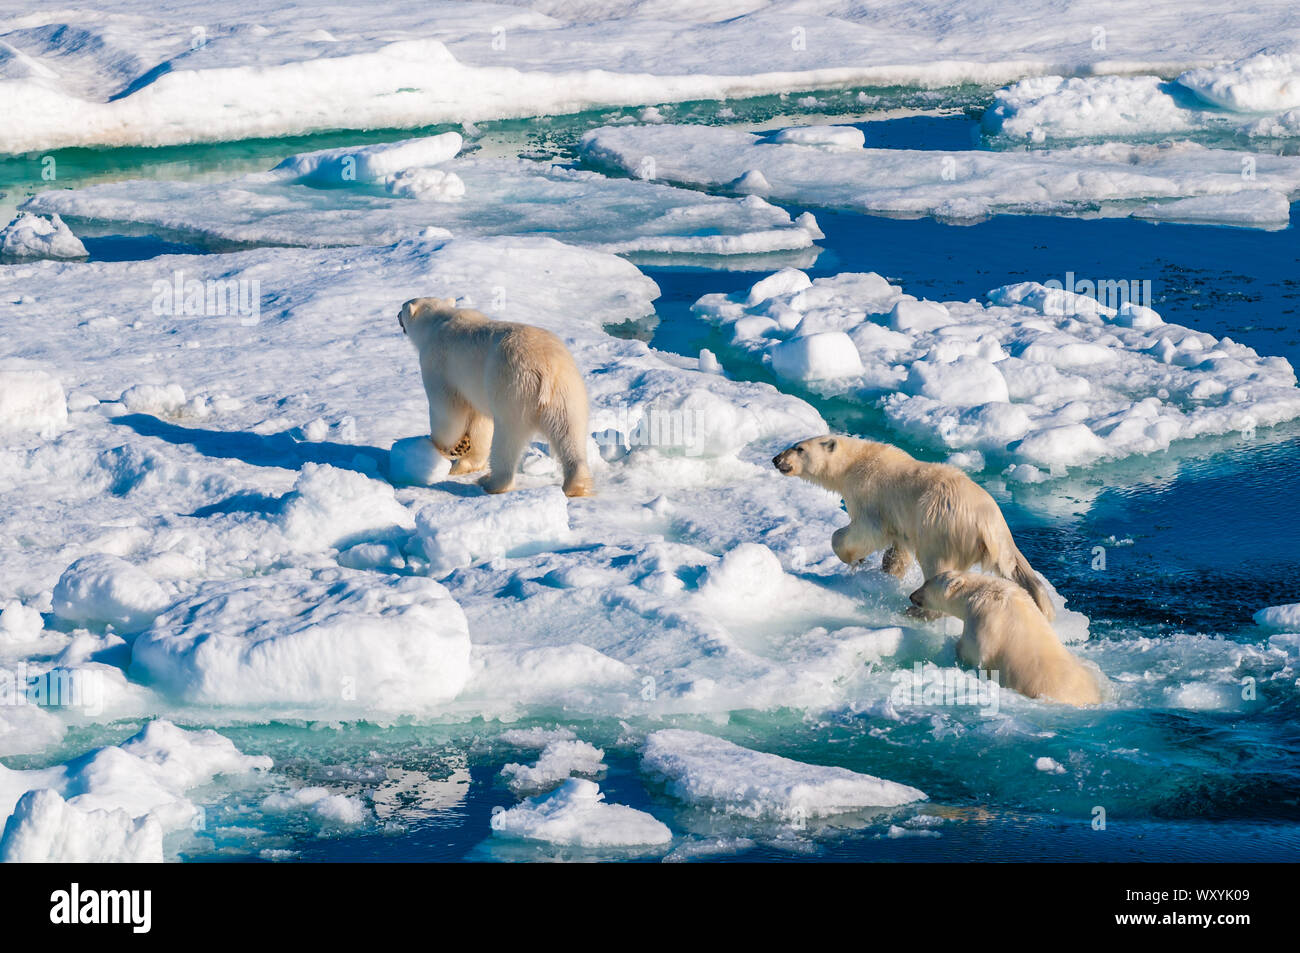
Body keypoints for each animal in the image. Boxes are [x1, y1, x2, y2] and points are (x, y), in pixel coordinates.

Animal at [398, 296, 593, 497]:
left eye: (402, 308)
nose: (397, 315)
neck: (437, 322)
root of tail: (547, 368)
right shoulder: (476, 388)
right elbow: (480, 422)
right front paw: (467, 460)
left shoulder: (438, 365)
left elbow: (447, 412)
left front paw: (446, 446)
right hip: (566, 393)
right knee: (570, 434)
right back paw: (577, 485)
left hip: (514, 390)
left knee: (507, 439)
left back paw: (491, 482)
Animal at [772, 435, 1054, 620]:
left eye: (798, 448)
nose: (775, 459)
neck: (856, 461)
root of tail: (988, 525)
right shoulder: (901, 522)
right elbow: (897, 551)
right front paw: (886, 573)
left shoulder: (869, 493)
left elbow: (866, 531)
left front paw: (854, 558)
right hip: (1000, 542)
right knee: (1017, 570)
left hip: (941, 529)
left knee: (937, 568)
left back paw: (917, 610)